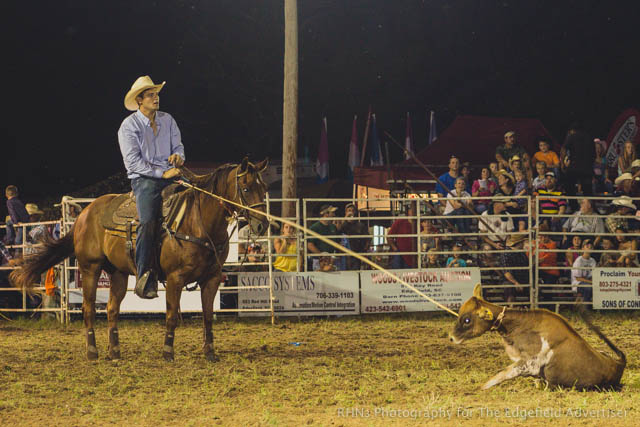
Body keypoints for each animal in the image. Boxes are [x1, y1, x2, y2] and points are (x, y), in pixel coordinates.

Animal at [12, 159, 268, 362]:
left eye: (263, 187)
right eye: (246, 188)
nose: (261, 225)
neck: (198, 222)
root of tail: (84, 214)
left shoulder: (212, 278)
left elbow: (207, 316)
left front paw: (209, 352)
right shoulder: (175, 278)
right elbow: (171, 315)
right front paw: (168, 351)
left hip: (118, 273)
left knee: (112, 309)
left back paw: (114, 351)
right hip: (89, 268)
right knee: (88, 308)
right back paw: (92, 351)